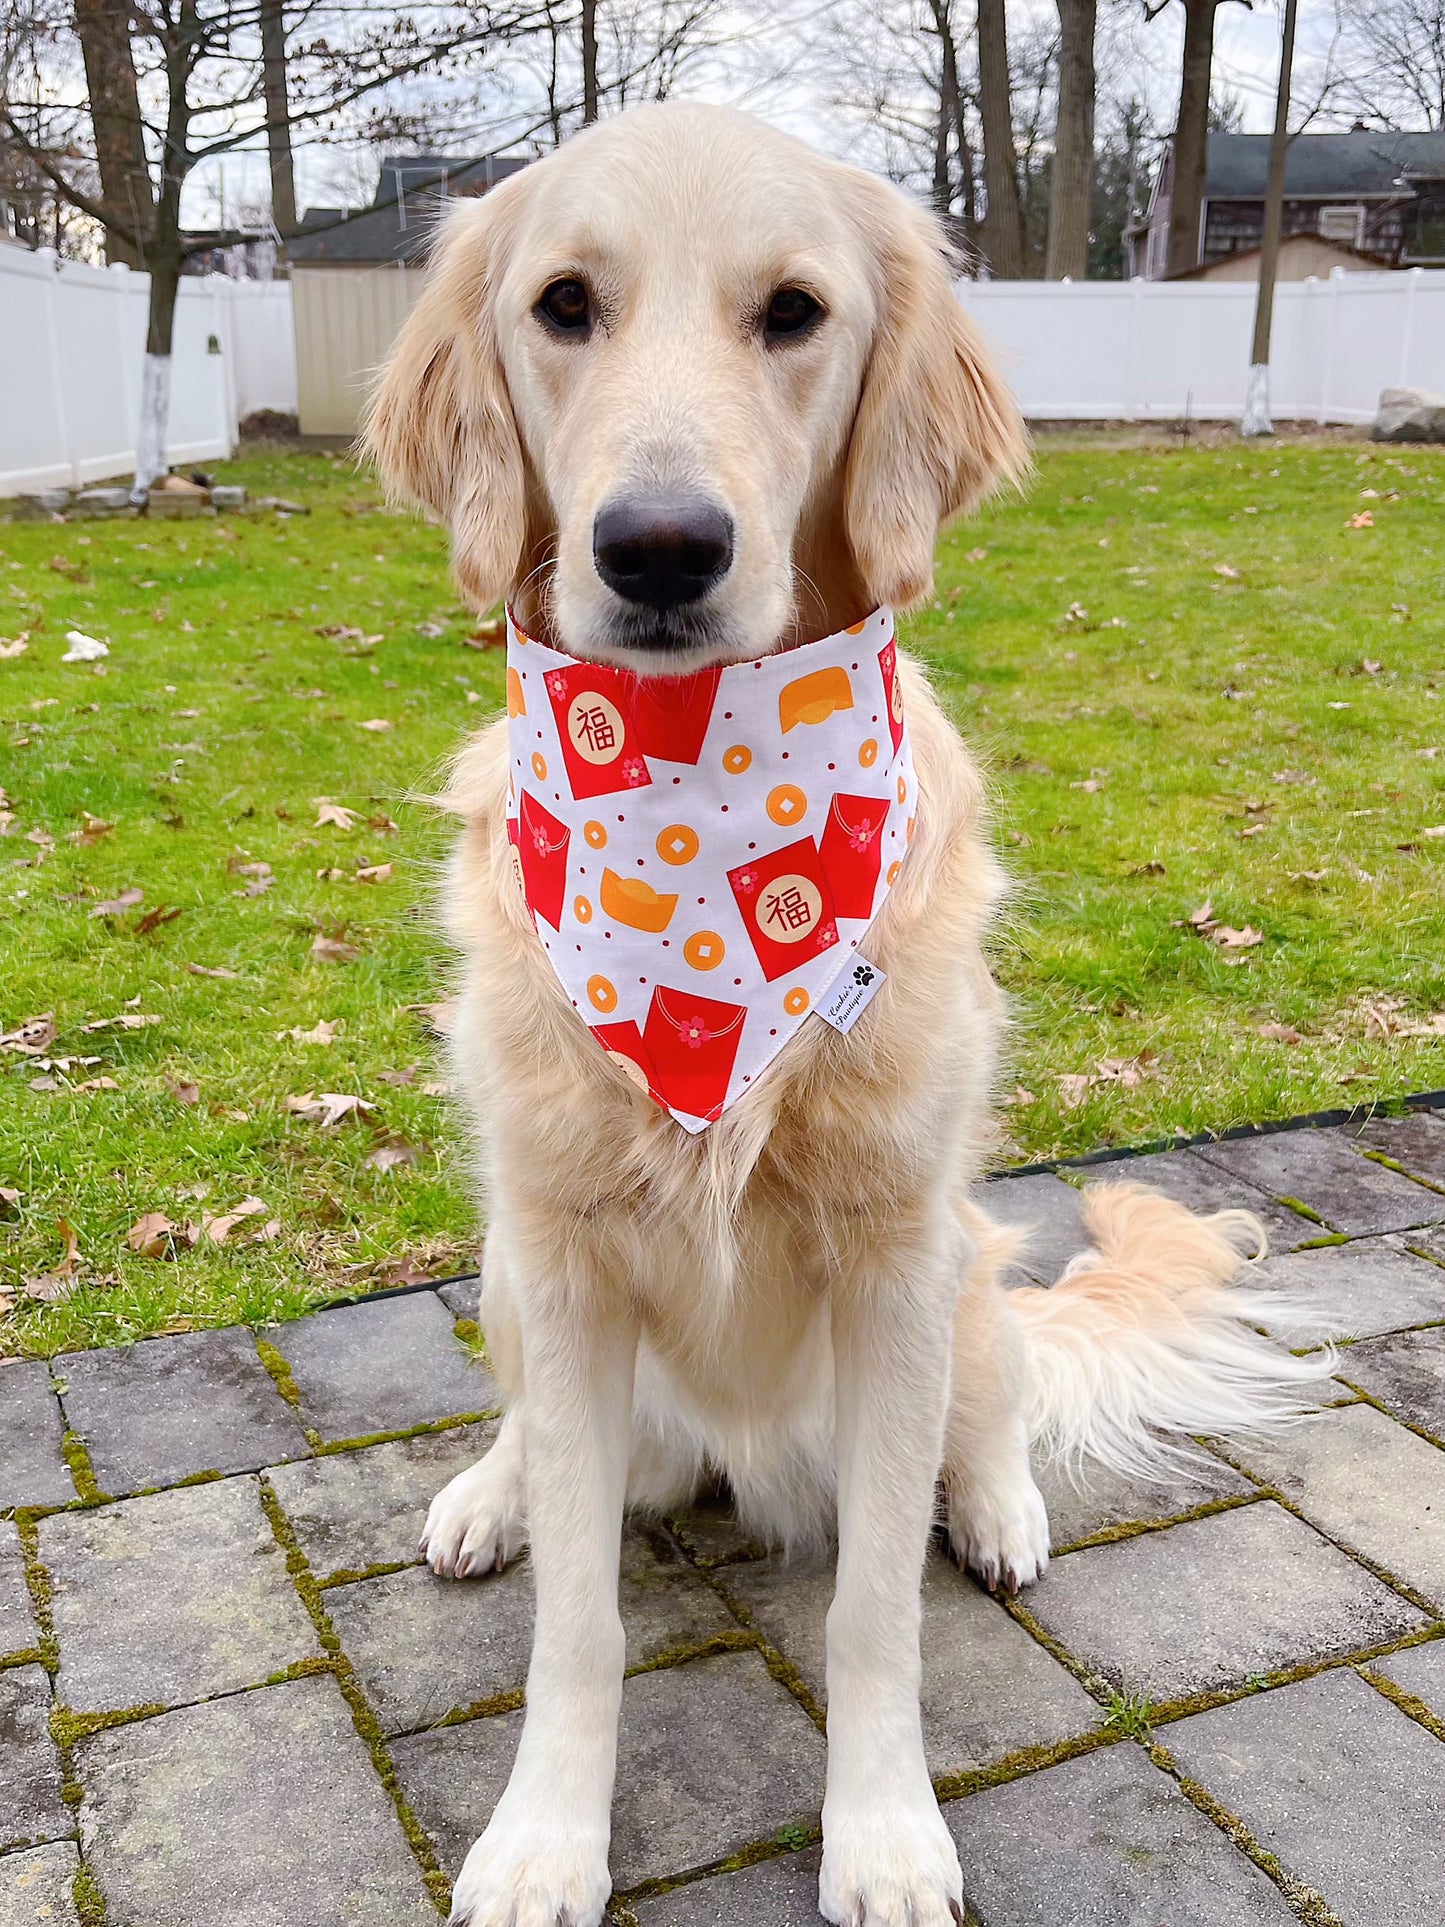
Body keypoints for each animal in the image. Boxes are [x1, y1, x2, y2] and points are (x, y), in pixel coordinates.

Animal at [364, 101, 1333, 1927]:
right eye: (565, 304)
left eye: (794, 312)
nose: (659, 548)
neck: (695, 804)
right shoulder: (567, 1256)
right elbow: (578, 1624)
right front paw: (543, 1836)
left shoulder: (893, 1258)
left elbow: (874, 1605)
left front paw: (884, 1833)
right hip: (513, 1267)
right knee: (532, 1433)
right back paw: (489, 1492)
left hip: (964, 1271)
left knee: (997, 1401)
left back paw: (1002, 1507)